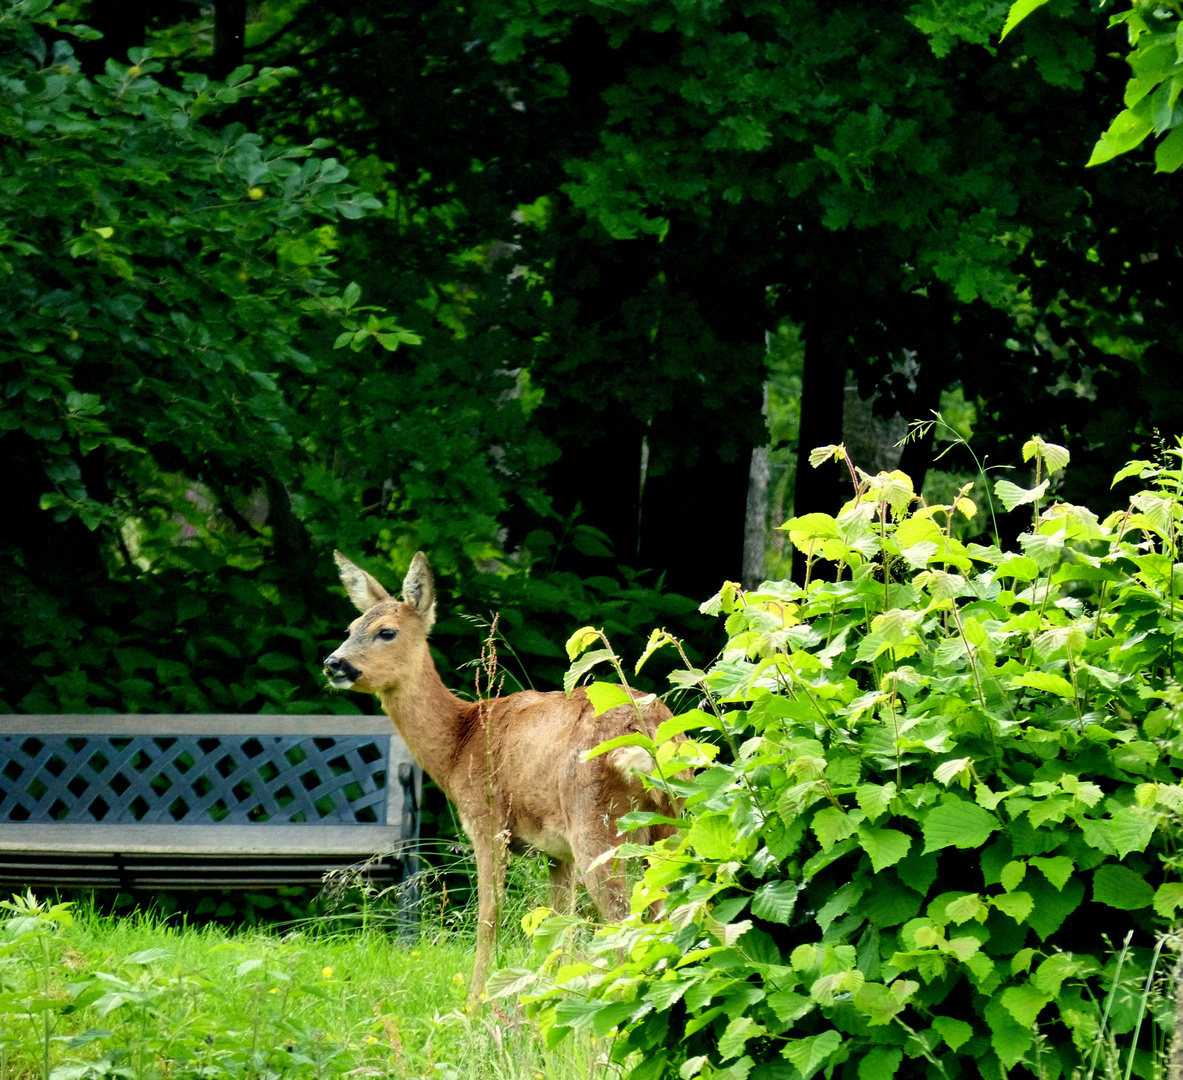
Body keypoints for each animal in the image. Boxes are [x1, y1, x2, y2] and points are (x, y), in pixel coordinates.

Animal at [321, 551, 686, 1007]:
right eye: (350, 628)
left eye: (386, 632)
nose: (333, 663)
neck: (459, 744)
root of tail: (650, 734)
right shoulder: (555, 851)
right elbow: (557, 923)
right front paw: (547, 995)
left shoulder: (487, 821)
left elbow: (488, 917)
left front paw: (474, 1004)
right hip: (672, 823)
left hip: (596, 825)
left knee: (626, 923)